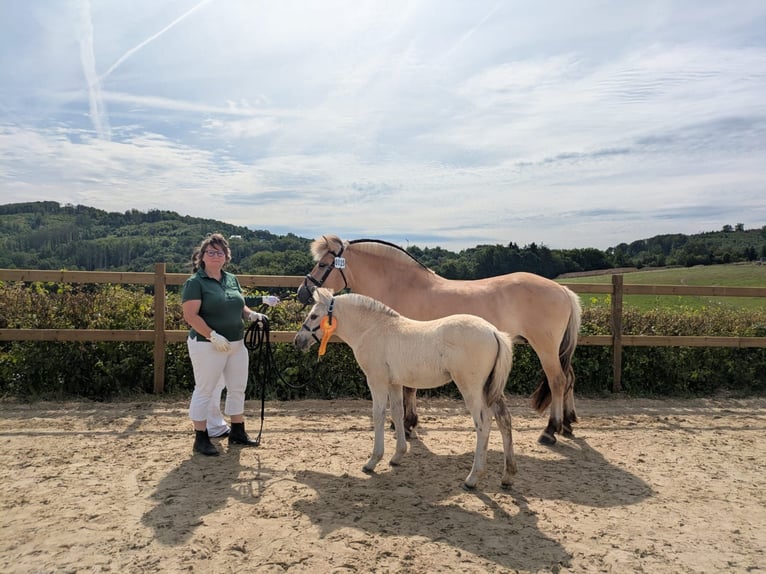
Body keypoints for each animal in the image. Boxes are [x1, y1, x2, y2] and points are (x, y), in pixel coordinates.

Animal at [294, 287, 516, 490]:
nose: (298, 341)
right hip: (490, 389)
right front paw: (397, 457)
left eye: (314, 315)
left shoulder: (376, 380)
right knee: (503, 420)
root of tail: (494, 332)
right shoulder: (395, 382)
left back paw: (472, 478)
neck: (372, 328)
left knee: (483, 424)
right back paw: (507, 476)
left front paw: (372, 461)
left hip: (471, 388)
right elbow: (397, 413)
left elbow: (378, 415)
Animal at [296, 234, 582, 445]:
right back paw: (568, 423)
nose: (302, 292)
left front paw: (407, 425)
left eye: (323, 264)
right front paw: (405, 423)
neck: (401, 285)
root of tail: (562, 290)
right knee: (569, 378)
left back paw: (550, 431)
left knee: (558, 380)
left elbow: (409, 389)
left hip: (545, 347)